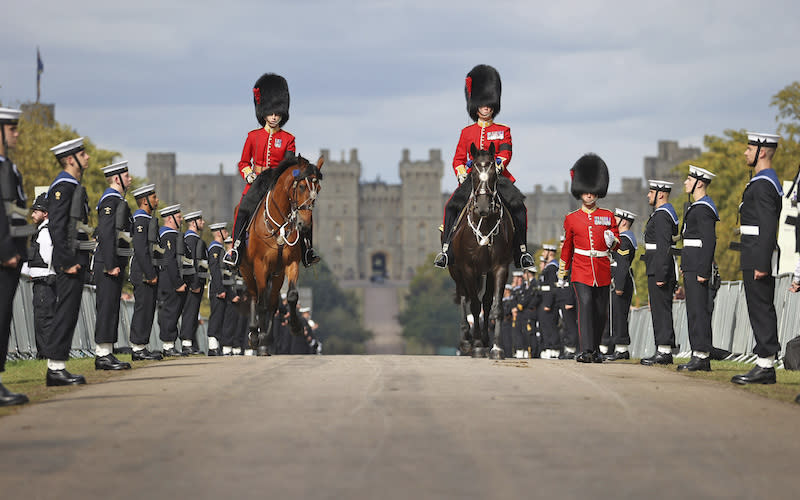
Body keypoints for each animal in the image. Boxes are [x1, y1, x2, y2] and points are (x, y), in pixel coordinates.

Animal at [239, 156, 324, 356]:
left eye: (318, 188)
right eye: (301, 186)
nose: (304, 224)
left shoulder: (290, 263)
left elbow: (291, 296)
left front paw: (296, 327)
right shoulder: (260, 265)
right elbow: (261, 303)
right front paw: (261, 342)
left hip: (276, 274)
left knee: (272, 302)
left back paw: (266, 337)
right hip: (247, 270)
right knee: (254, 296)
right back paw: (255, 335)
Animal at [446, 143, 516, 358]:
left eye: (494, 174)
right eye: (474, 175)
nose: (484, 207)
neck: (484, 225)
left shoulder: (499, 268)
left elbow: (495, 306)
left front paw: (496, 347)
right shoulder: (468, 268)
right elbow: (475, 306)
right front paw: (476, 345)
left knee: (484, 300)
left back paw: (485, 340)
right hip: (457, 271)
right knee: (464, 298)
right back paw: (467, 341)